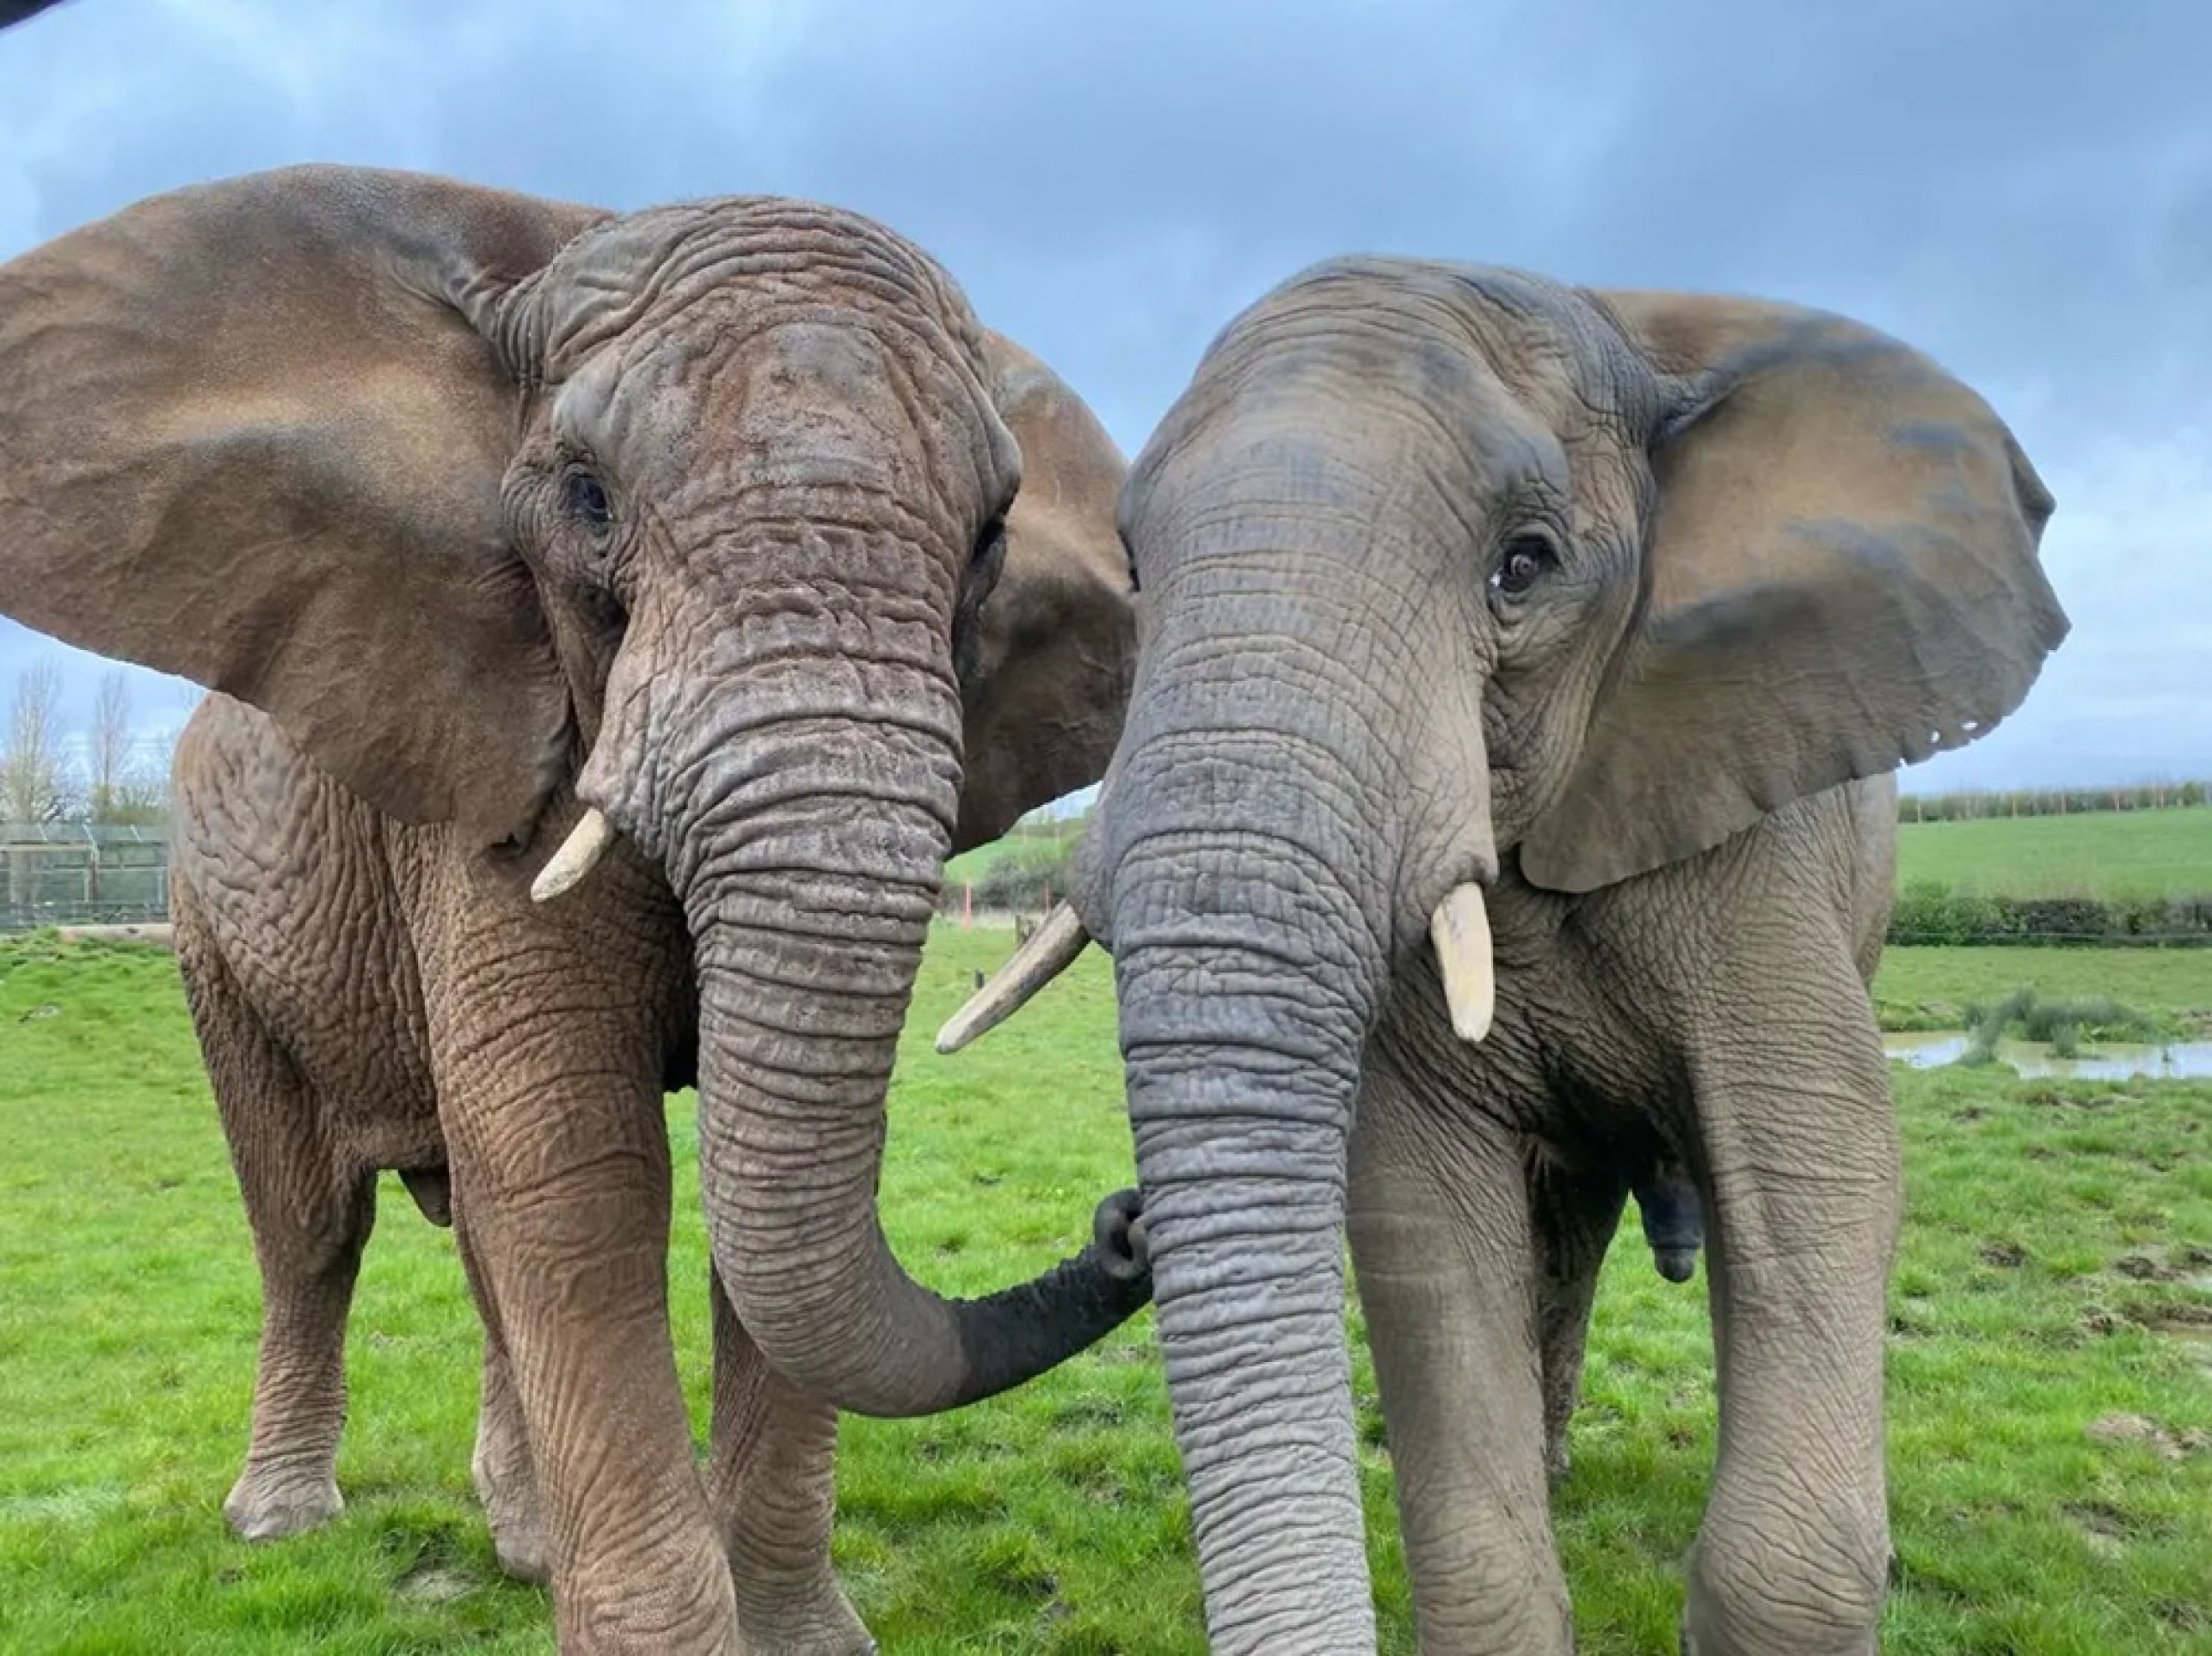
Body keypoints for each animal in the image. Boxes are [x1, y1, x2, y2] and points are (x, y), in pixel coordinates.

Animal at [0, 164, 1152, 1654]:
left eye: (993, 537)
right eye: (589, 499)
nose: (1126, 1220)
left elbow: (745, 1187)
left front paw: (800, 1643)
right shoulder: (481, 777)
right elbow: (581, 1169)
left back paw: (522, 1543)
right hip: (207, 922)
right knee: (312, 1224)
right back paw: (282, 1523)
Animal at [943, 259, 2068, 1652]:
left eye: (1523, 567)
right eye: (1138, 571)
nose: (1125, 1222)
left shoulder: (1762, 842)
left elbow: (1818, 1158)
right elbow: (1425, 1208)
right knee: (1566, 1222)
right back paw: (1557, 1466)